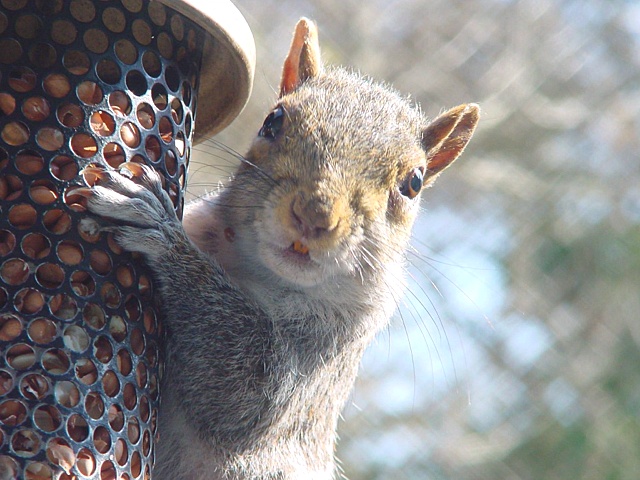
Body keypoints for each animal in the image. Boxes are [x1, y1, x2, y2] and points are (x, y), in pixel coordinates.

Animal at [85, 16, 478, 480]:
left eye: (413, 183)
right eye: (273, 121)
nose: (314, 215)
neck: (258, 275)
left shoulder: (324, 354)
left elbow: (243, 392)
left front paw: (161, 232)